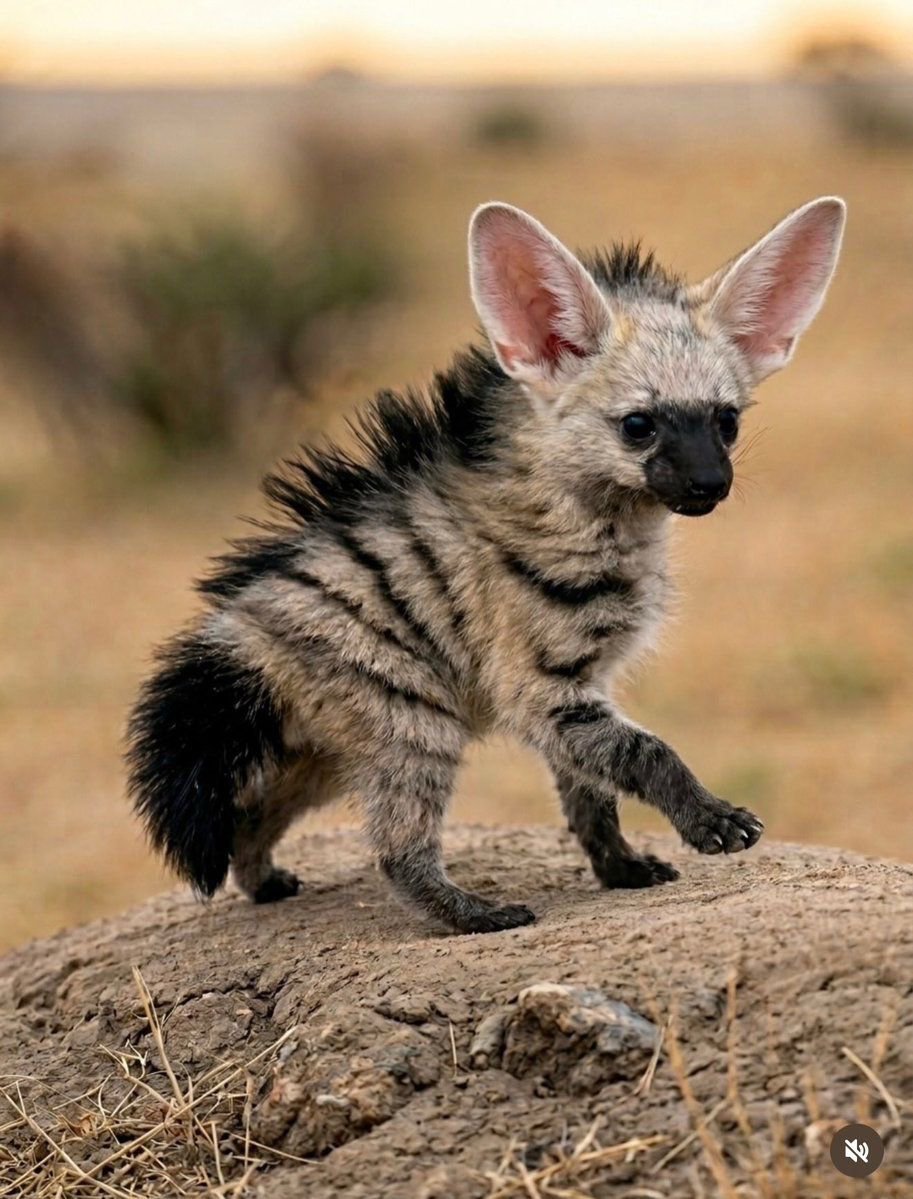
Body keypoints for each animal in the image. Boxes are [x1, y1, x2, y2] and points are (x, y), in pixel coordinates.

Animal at [127, 196, 845, 933]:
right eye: (638, 425)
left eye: (726, 421)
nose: (709, 483)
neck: (603, 525)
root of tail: (242, 628)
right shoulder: (537, 682)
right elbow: (641, 751)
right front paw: (712, 821)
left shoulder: (580, 685)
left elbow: (589, 792)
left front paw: (621, 869)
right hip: (409, 717)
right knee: (396, 846)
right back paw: (474, 913)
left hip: (320, 747)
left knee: (254, 812)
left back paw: (265, 881)